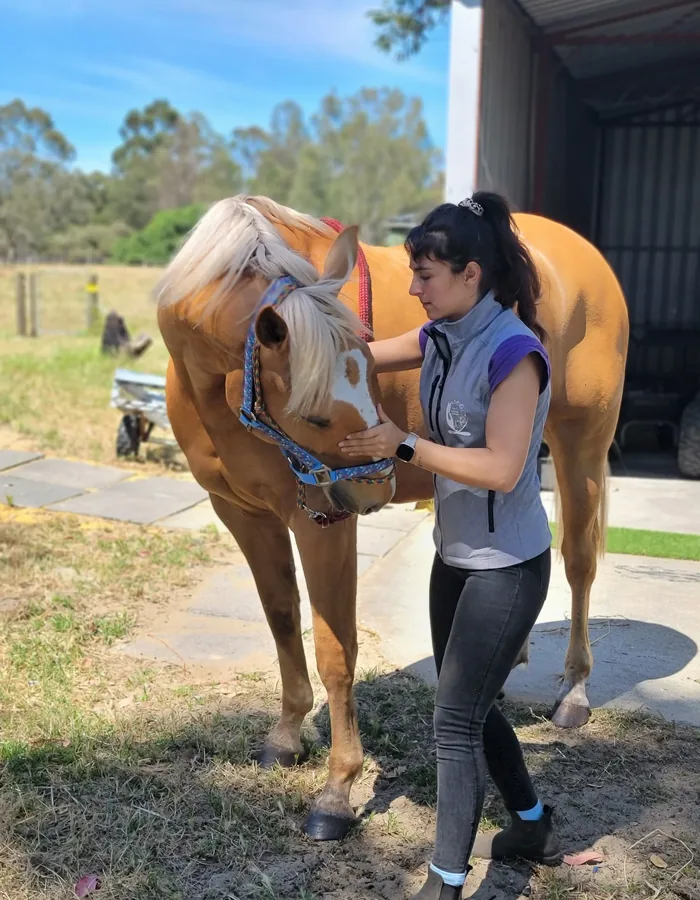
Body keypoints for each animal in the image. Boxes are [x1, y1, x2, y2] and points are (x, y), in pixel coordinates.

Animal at [155, 194, 629, 841]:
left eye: (371, 376)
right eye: (314, 414)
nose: (375, 488)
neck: (216, 382)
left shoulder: (321, 521)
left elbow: (337, 652)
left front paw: (336, 790)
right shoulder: (243, 515)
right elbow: (281, 619)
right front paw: (286, 735)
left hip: (581, 447)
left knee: (578, 563)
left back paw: (575, 692)